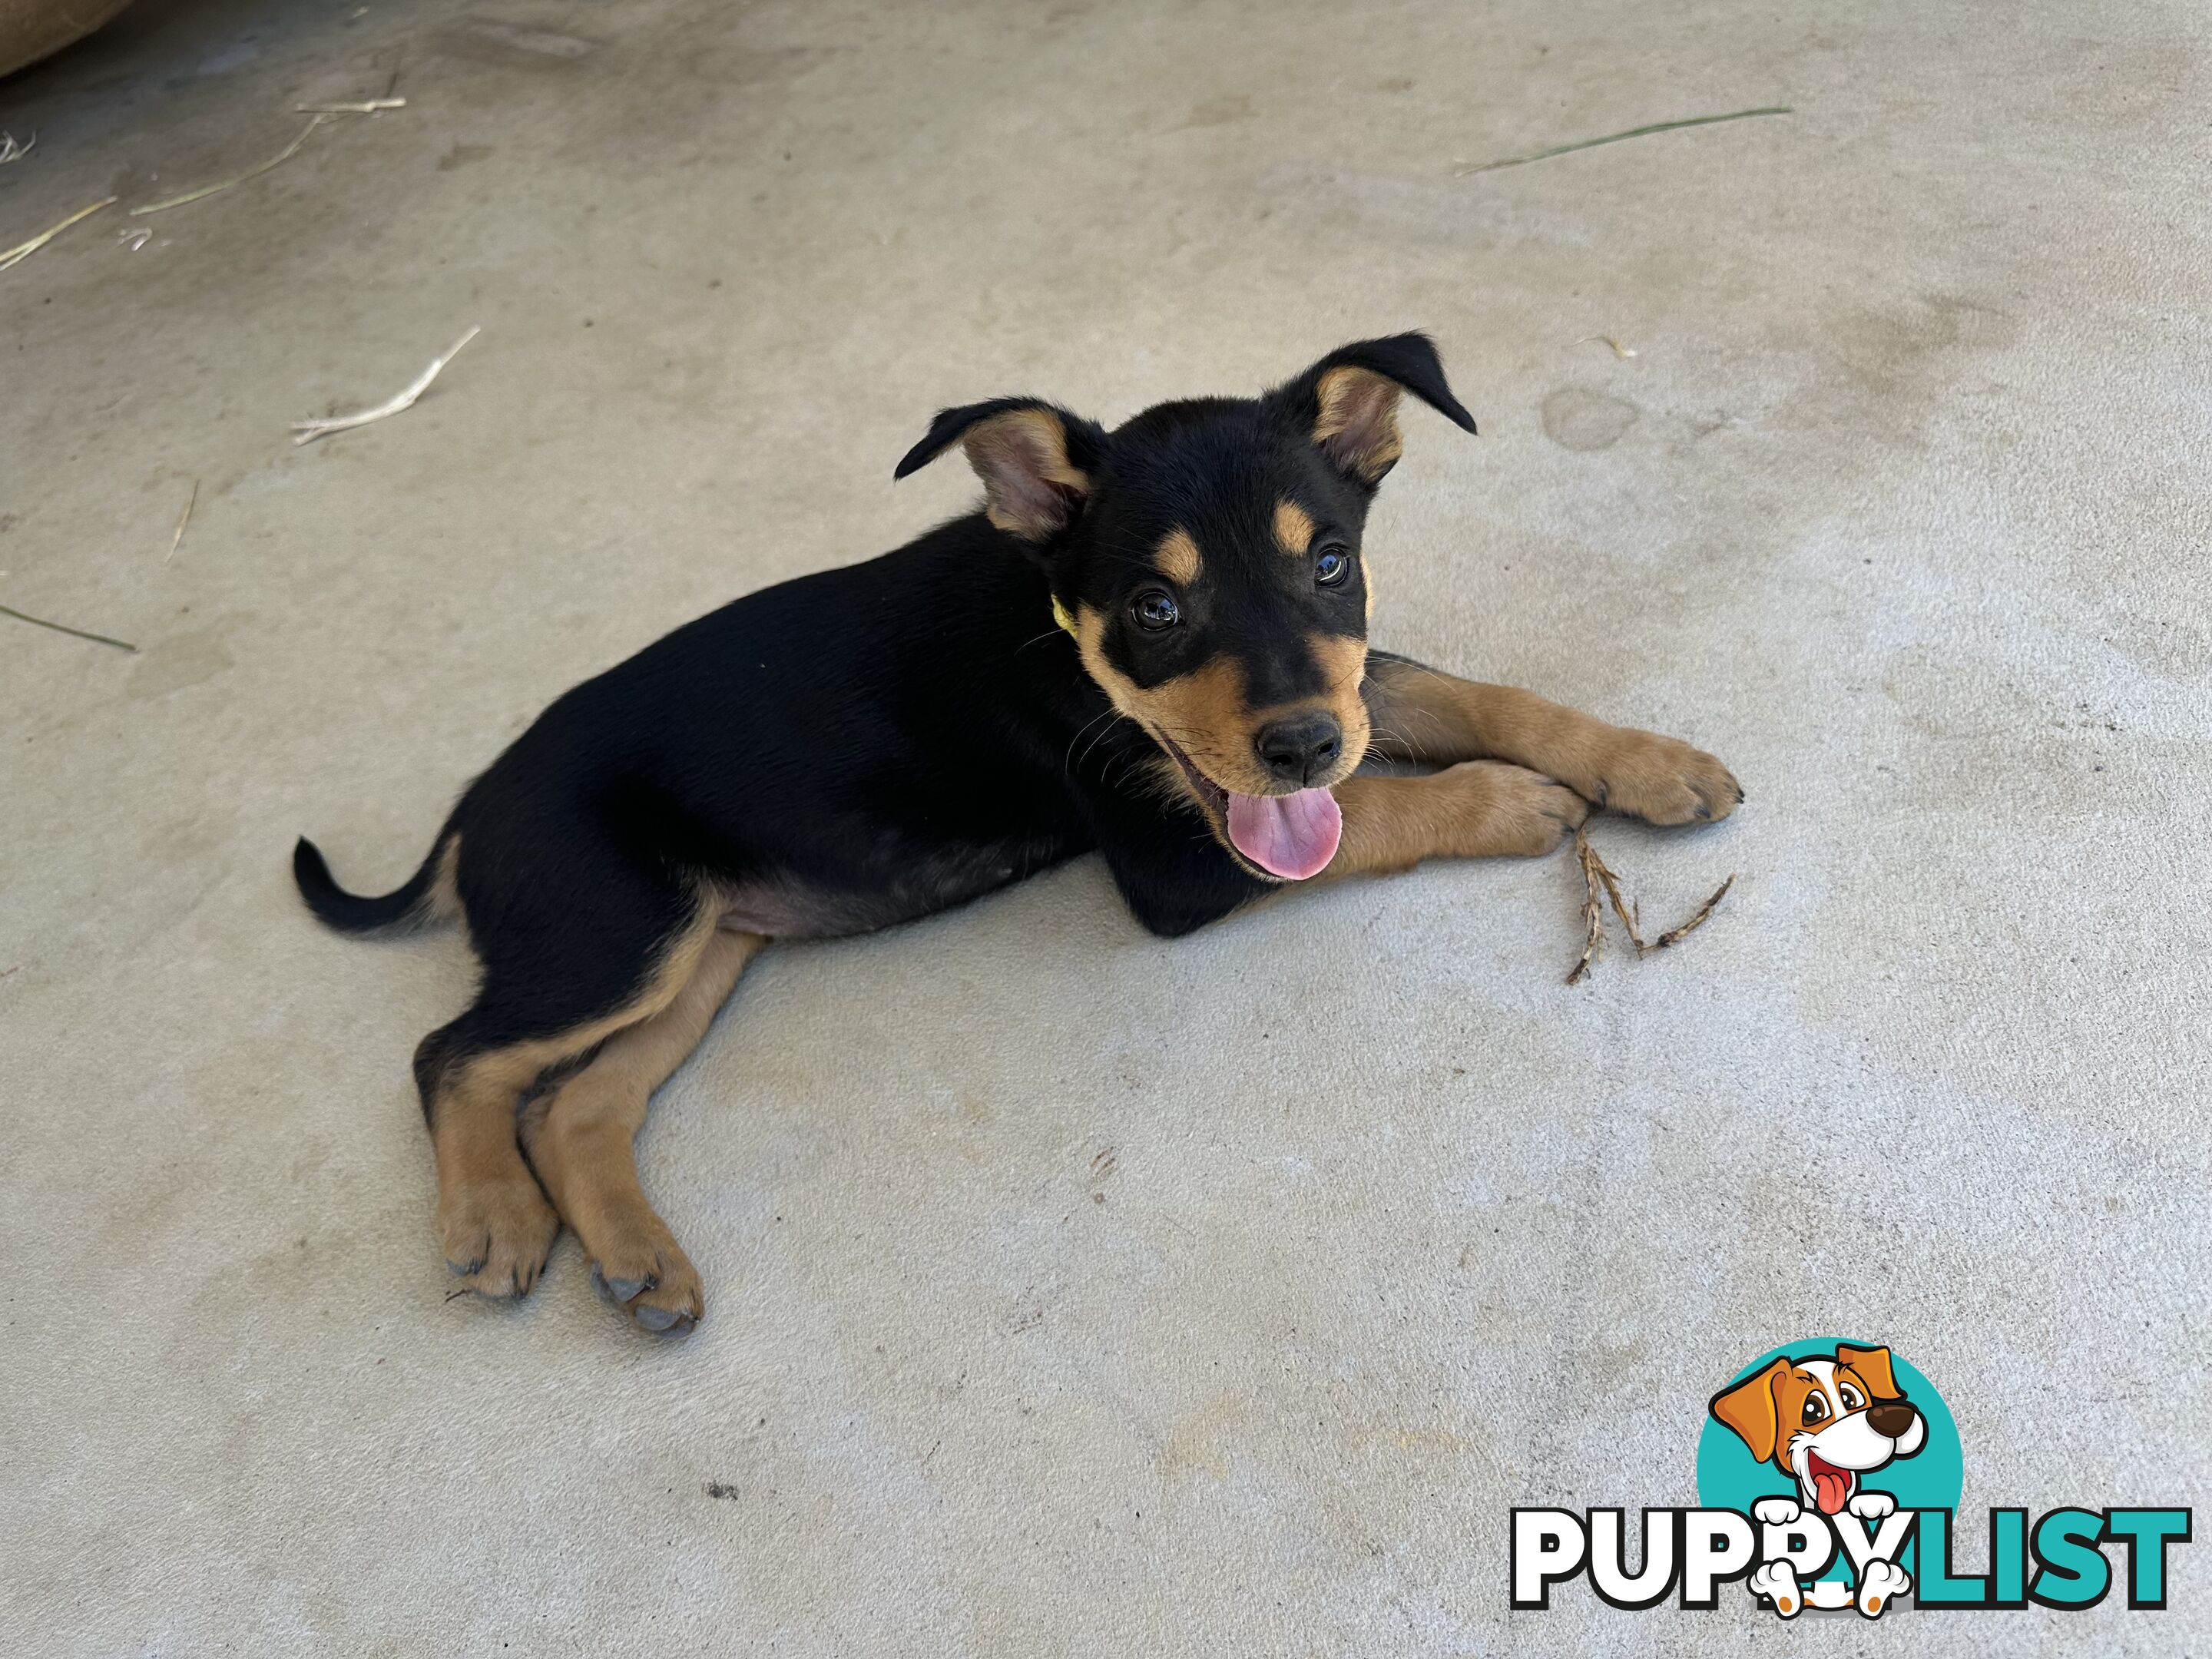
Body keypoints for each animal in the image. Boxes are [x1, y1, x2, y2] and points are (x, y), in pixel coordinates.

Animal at [298, 338, 1743, 1336]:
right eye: (1155, 606)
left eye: (1330, 561)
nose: (1297, 748)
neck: (1055, 629)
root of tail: (474, 804)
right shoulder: (1180, 860)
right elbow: (1384, 805)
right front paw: (1517, 800)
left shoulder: (1347, 685)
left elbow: (1471, 692)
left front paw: (1653, 765)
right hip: (618, 928)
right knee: (454, 1054)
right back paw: (492, 1225)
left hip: (705, 946)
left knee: (578, 1098)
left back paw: (638, 1263)